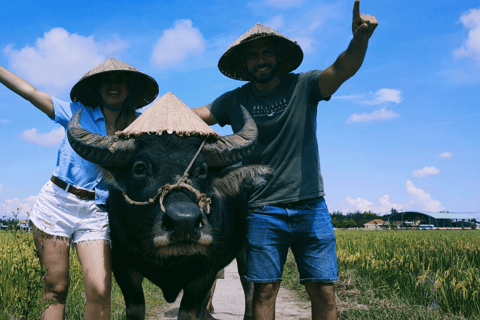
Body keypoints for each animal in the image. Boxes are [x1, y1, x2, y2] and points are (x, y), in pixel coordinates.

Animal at [67, 99, 270, 318]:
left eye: (203, 170)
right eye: (140, 168)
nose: (184, 222)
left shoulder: (206, 270)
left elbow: (190, 311)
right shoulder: (122, 266)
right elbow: (136, 308)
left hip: (246, 250)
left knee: (249, 286)